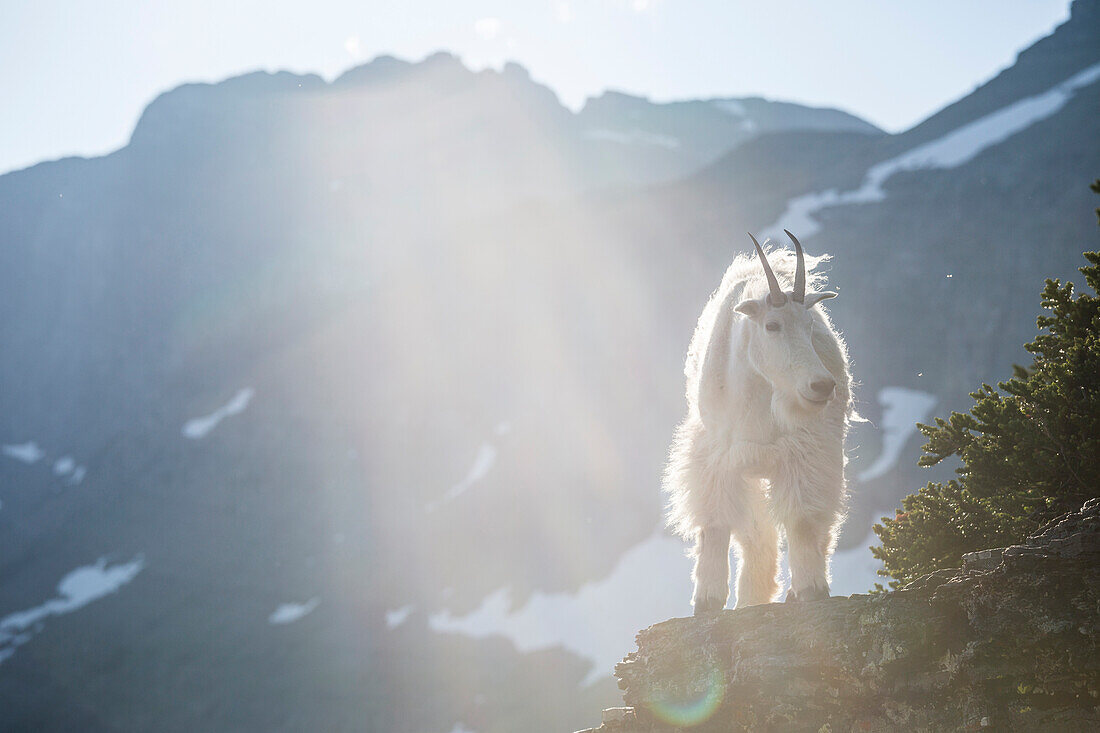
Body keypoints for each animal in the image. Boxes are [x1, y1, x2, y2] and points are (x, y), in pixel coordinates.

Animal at [660, 228, 849, 611]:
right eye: (772, 325)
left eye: (810, 325)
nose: (821, 386)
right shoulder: (717, 456)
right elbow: (715, 522)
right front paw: (707, 601)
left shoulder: (802, 453)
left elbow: (802, 519)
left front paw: (811, 590)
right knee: (756, 535)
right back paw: (748, 601)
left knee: (820, 524)